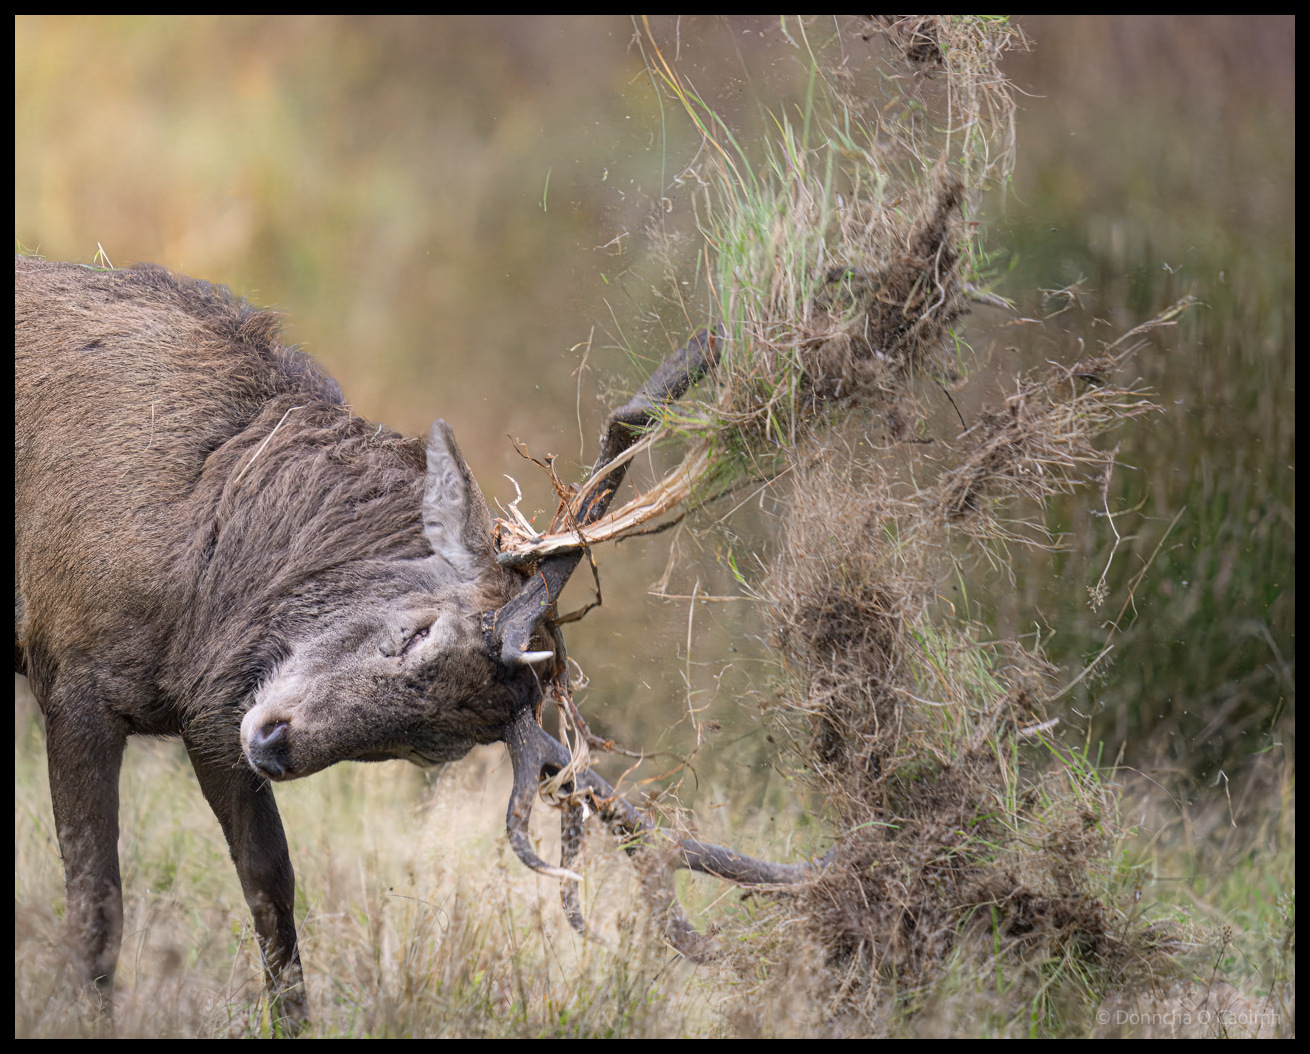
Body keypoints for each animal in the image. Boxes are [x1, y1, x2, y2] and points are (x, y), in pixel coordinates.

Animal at [15, 256, 814, 1034]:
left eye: (433, 746)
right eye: (421, 629)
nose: (276, 741)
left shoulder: (211, 717)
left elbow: (272, 888)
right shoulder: (76, 676)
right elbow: (97, 905)